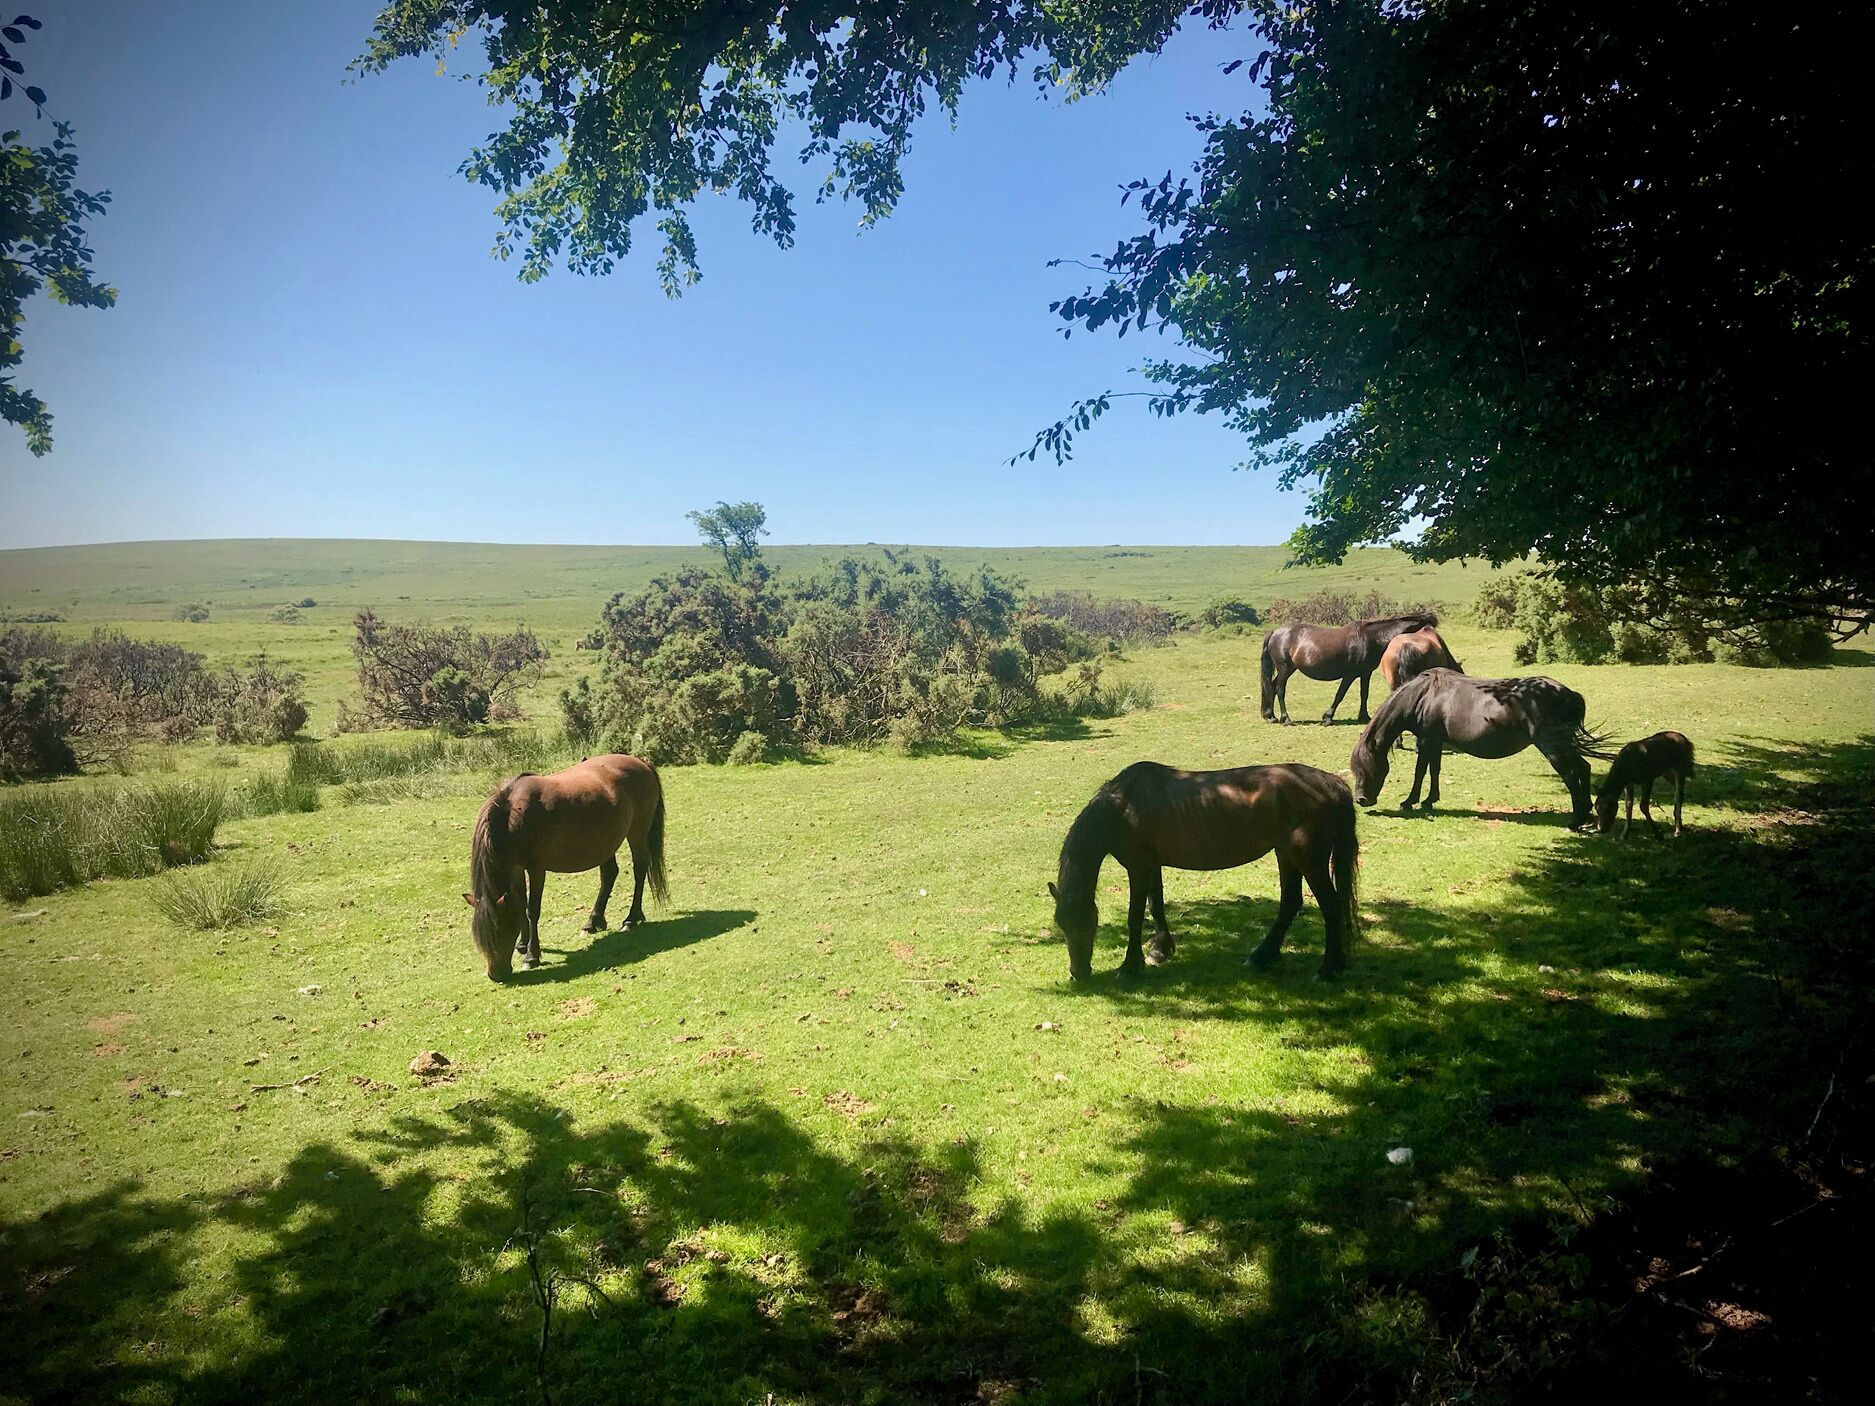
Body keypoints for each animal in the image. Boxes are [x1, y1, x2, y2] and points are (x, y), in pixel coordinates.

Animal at [464, 754, 668, 980]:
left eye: (501, 930)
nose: (496, 974)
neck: (513, 817)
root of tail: (642, 763)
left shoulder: (536, 869)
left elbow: (532, 910)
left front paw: (531, 956)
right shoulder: (516, 868)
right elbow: (521, 903)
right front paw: (523, 945)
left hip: (637, 833)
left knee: (639, 870)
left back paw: (631, 919)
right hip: (606, 842)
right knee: (609, 874)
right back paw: (593, 922)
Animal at [1048, 761, 1360, 983]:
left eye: (1089, 924)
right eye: (1061, 925)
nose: (1078, 974)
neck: (1124, 806)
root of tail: (1332, 784)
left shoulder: (1138, 867)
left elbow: (1135, 916)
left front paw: (1130, 966)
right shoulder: (1153, 865)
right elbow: (1156, 906)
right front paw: (1160, 950)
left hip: (1308, 859)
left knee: (1331, 906)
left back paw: (1328, 969)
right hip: (1286, 854)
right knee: (1290, 904)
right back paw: (1262, 957)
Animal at [1260, 613, 1440, 725]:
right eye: (1425, 628)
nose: (1436, 643)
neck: (1370, 638)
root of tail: (1275, 632)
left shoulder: (1365, 673)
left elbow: (1364, 694)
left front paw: (1364, 716)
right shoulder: (1350, 675)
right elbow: (1340, 694)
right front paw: (1328, 718)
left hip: (1289, 669)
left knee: (1272, 687)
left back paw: (1271, 716)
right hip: (1284, 668)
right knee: (1279, 689)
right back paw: (1286, 718)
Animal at [1349, 669, 1612, 827]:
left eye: (1366, 767)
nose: (1361, 799)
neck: (1424, 696)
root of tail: (1568, 694)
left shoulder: (1425, 741)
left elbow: (1420, 771)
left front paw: (1409, 801)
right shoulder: (1435, 741)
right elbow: (1434, 770)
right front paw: (1429, 800)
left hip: (1553, 747)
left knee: (1571, 774)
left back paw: (1576, 819)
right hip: (1564, 745)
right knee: (1583, 768)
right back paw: (1586, 814)